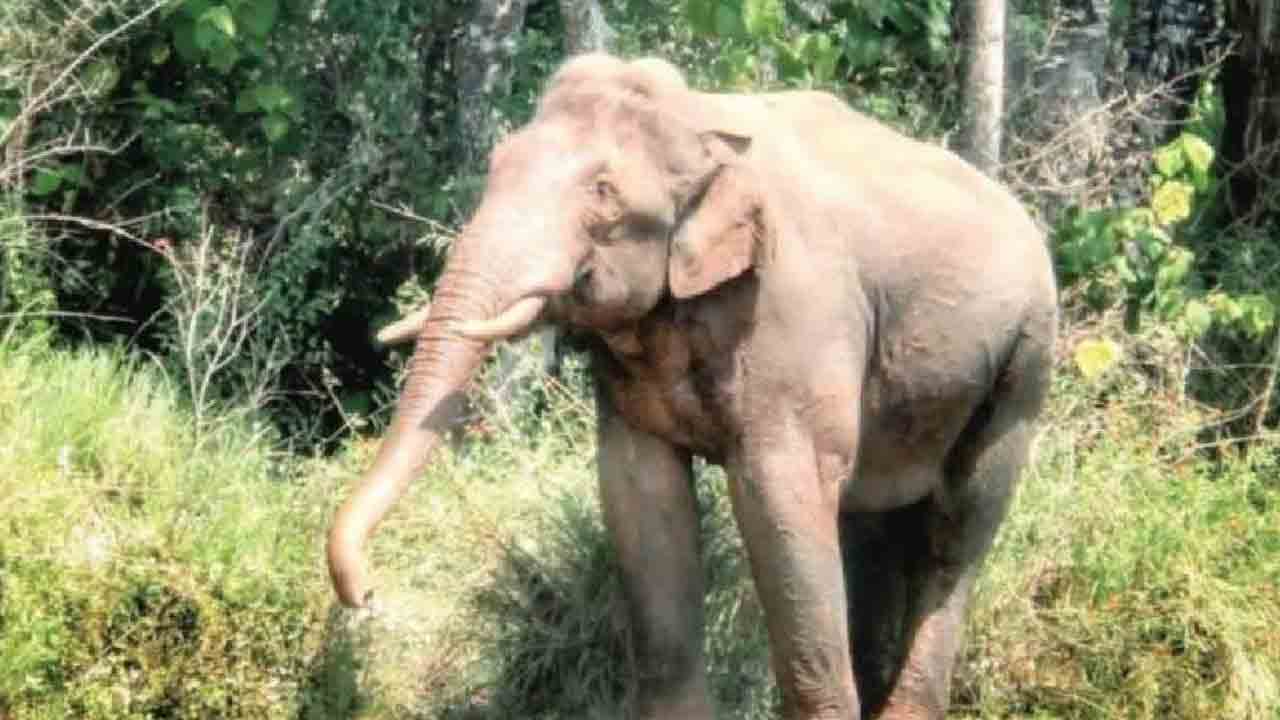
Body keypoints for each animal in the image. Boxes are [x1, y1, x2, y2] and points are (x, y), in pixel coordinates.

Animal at [328, 53, 1058, 720]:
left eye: (603, 192)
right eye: (497, 163)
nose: (366, 595)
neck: (702, 119)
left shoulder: (793, 313)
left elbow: (781, 494)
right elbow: (641, 497)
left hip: (1024, 360)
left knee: (957, 530)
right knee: (871, 531)